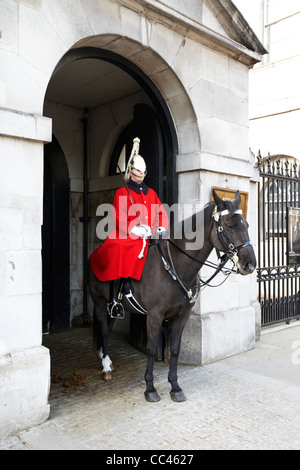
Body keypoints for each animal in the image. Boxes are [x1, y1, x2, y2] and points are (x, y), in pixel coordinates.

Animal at [88, 189, 256, 402]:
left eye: (247, 225)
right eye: (230, 225)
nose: (250, 264)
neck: (174, 266)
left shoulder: (182, 316)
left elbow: (175, 349)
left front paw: (175, 386)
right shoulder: (154, 316)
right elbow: (151, 349)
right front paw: (150, 388)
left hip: (113, 311)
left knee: (107, 331)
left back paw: (107, 361)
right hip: (100, 305)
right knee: (103, 332)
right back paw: (105, 368)